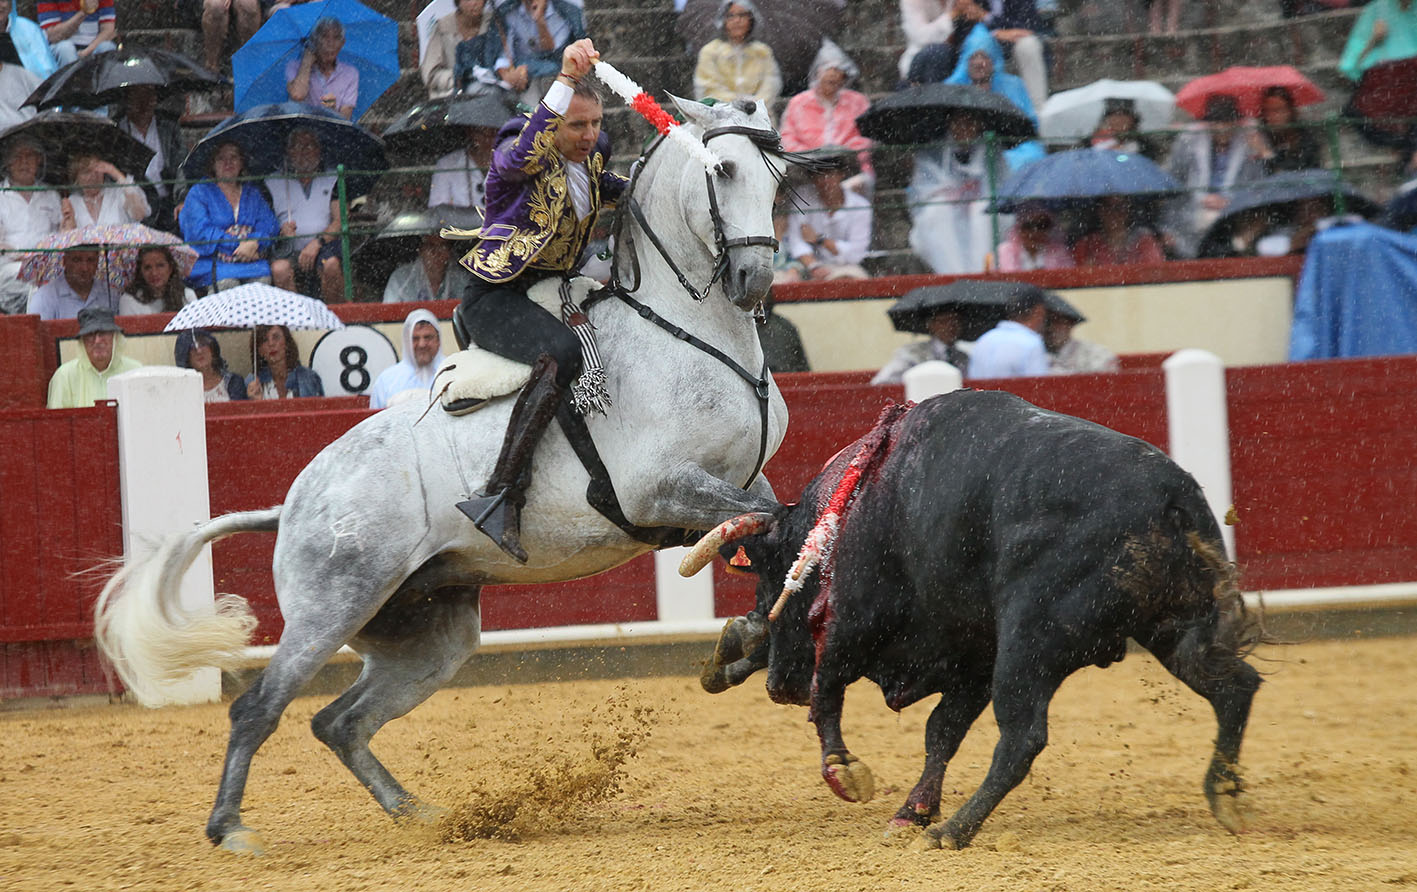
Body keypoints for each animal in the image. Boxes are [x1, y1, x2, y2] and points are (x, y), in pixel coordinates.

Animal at [94, 96, 792, 854]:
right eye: (722, 171)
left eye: (777, 177)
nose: (754, 282)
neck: (687, 333)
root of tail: (296, 503)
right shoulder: (659, 489)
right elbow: (769, 524)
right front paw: (741, 638)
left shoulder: (736, 483)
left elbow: (776, 529)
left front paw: (742, 642)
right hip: (330, 606)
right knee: (259, 707)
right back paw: (230, 829)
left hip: (428, 633)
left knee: (338, 720)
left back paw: (418, 812)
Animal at [678, 390, 1267, 850]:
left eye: (774, 576)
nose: (779, 684)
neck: (849, 508)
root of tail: (1172, 496)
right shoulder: (973, 656)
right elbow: (942, 731)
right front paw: (910, 812)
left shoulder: (854, 627)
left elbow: (830, 696)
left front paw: (847, 773)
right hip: (1173, 630)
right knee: (1235, 686)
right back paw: (1225, 794)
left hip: (1031, 642)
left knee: (1022, 737)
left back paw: (955, 831)